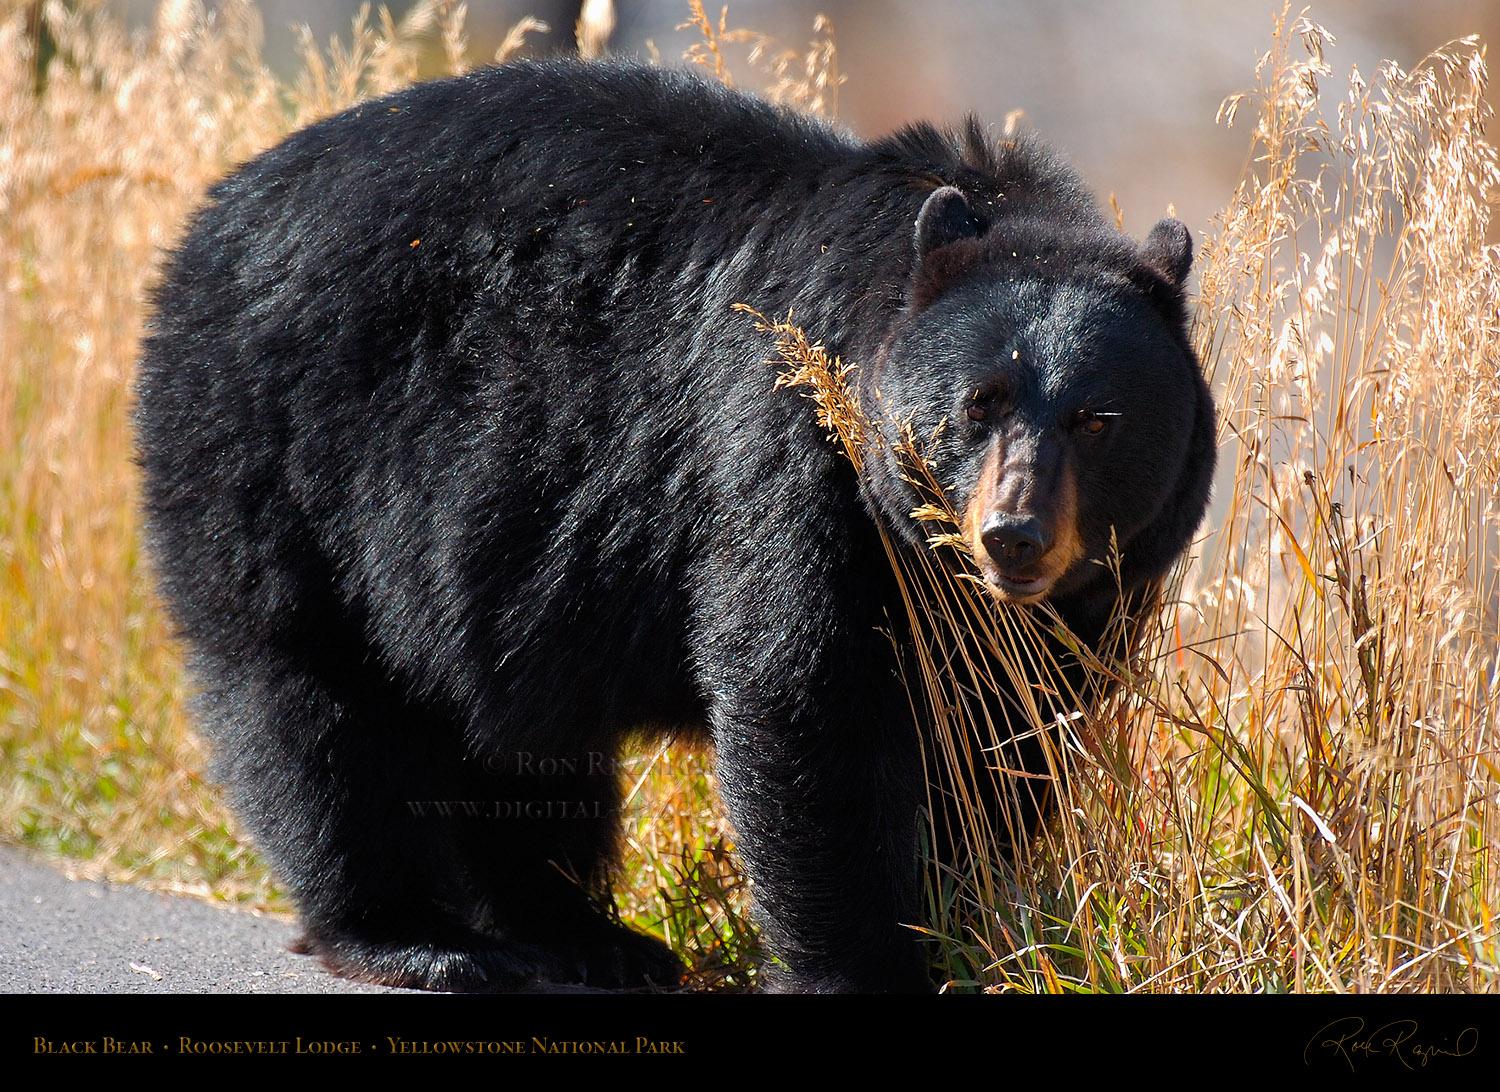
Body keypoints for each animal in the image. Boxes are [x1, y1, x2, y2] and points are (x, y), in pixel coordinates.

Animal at [132, 57, 1215, 994]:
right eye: (978, 403)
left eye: (1098, 419)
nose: (1013, 536)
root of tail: (211, 217)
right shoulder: (792, 454)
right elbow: (806, 697)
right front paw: (864, 967)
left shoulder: (1083, 594)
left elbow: (1009, 729)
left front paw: (973, 924)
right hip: (283, 455)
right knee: (311, 702)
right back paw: (411, 936)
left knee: (516, 738)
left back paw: (582, 934)